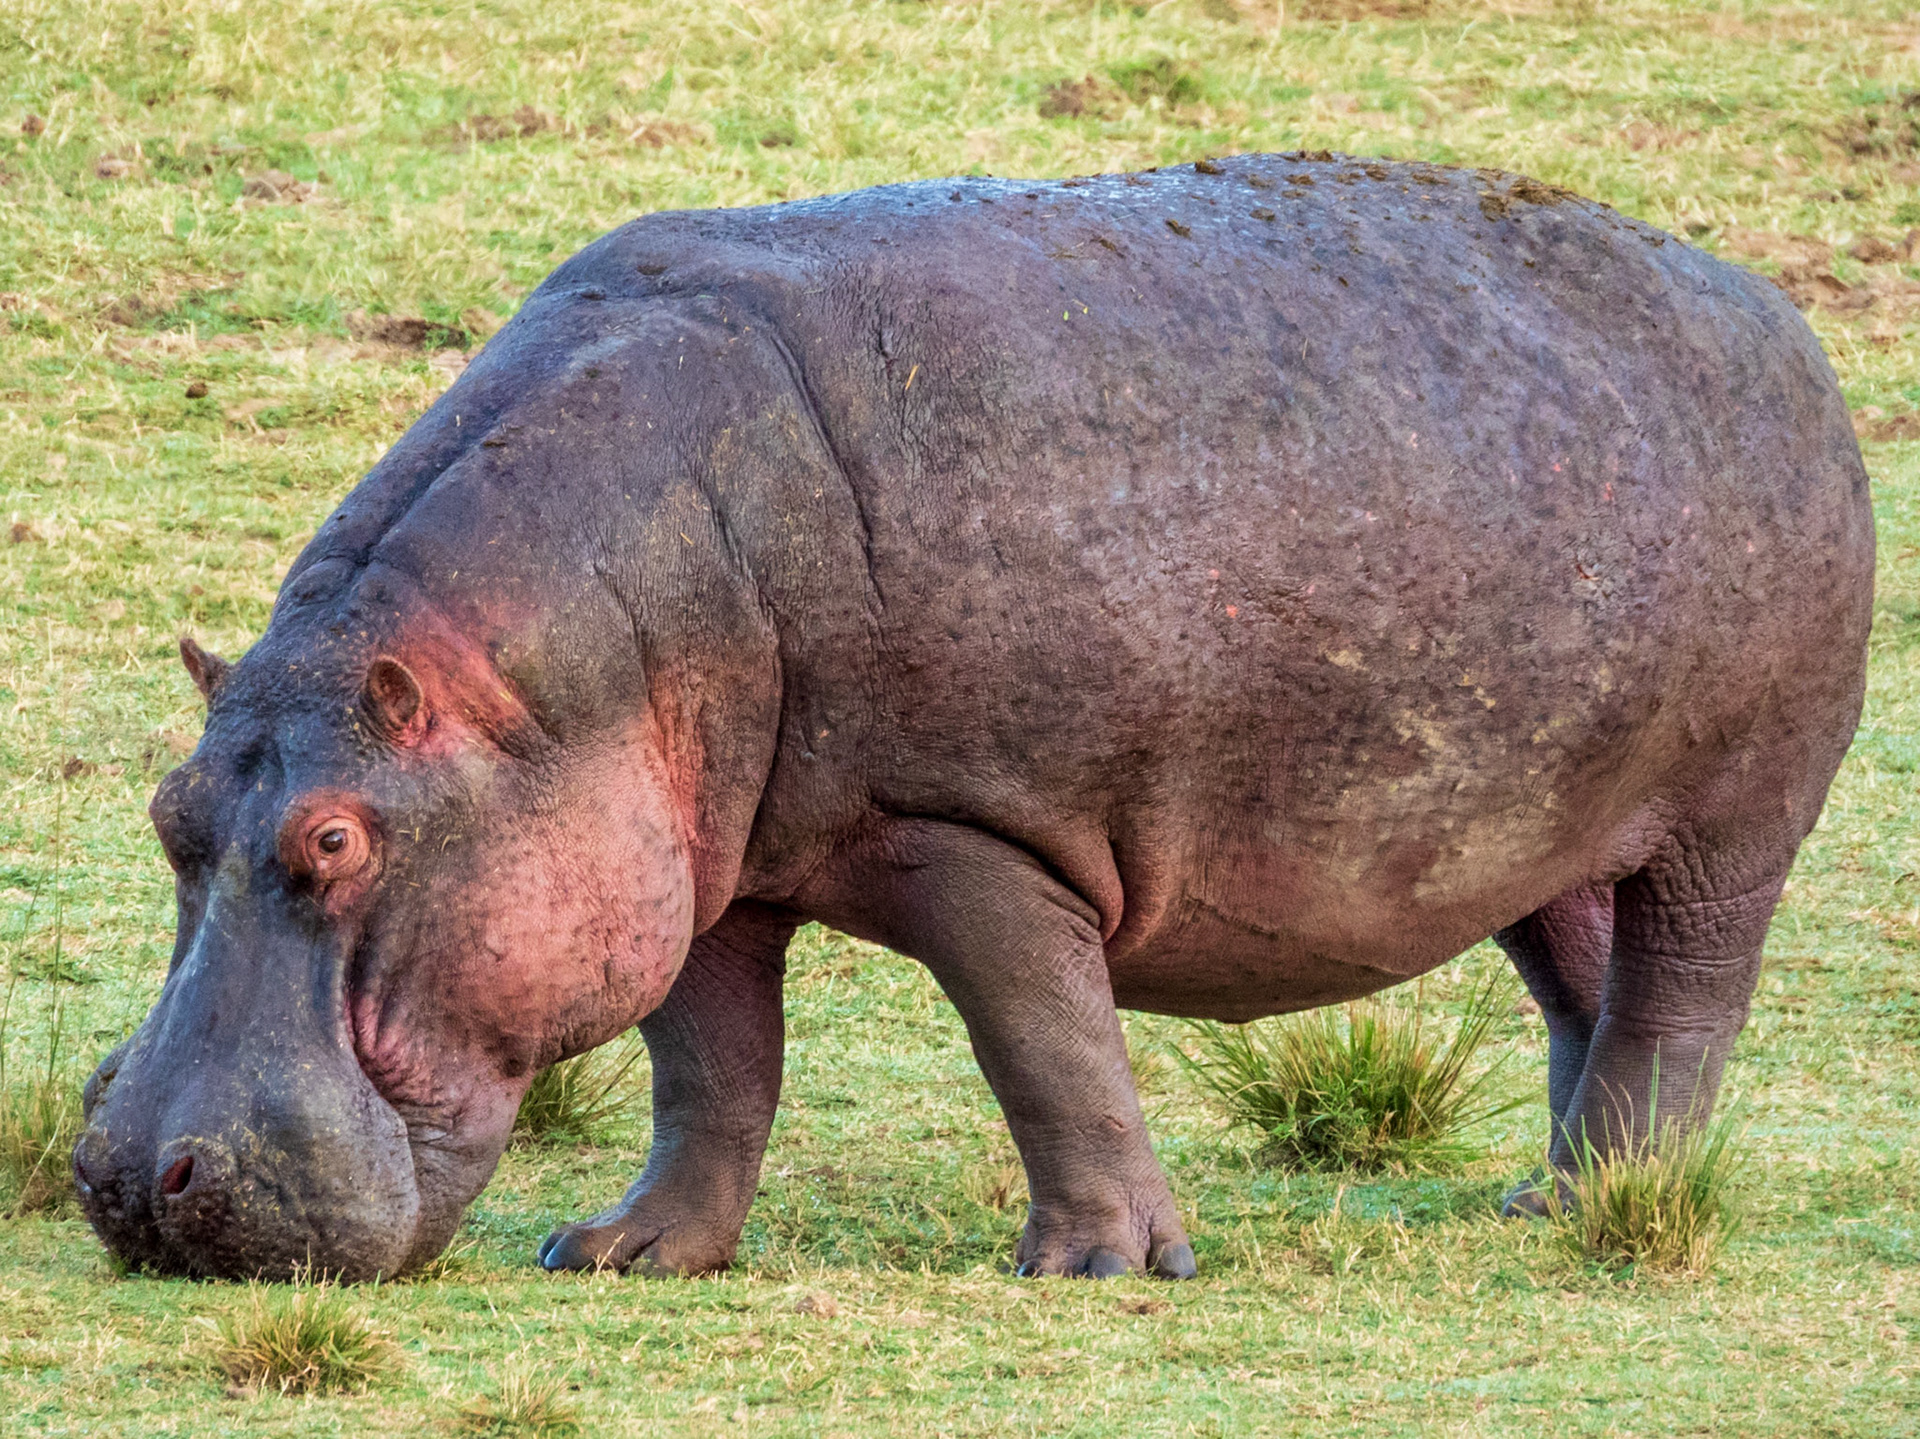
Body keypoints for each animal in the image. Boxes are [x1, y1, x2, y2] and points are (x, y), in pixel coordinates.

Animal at [76, 152, 1872, 1282]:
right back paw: (1544, 1193)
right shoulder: (695, 859)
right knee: (1586, 985)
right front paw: (625, 1252)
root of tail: (1776, 313)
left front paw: (1097, 1263)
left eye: (333, 839)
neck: (545, 693)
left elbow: (1046, 1040)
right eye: (168, 810)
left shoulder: (979, 829)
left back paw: (1612, 1206)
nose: (127, 1177)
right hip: (1548, 825)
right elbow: (709, 1064)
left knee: (1683, 993)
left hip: (1734, 819)